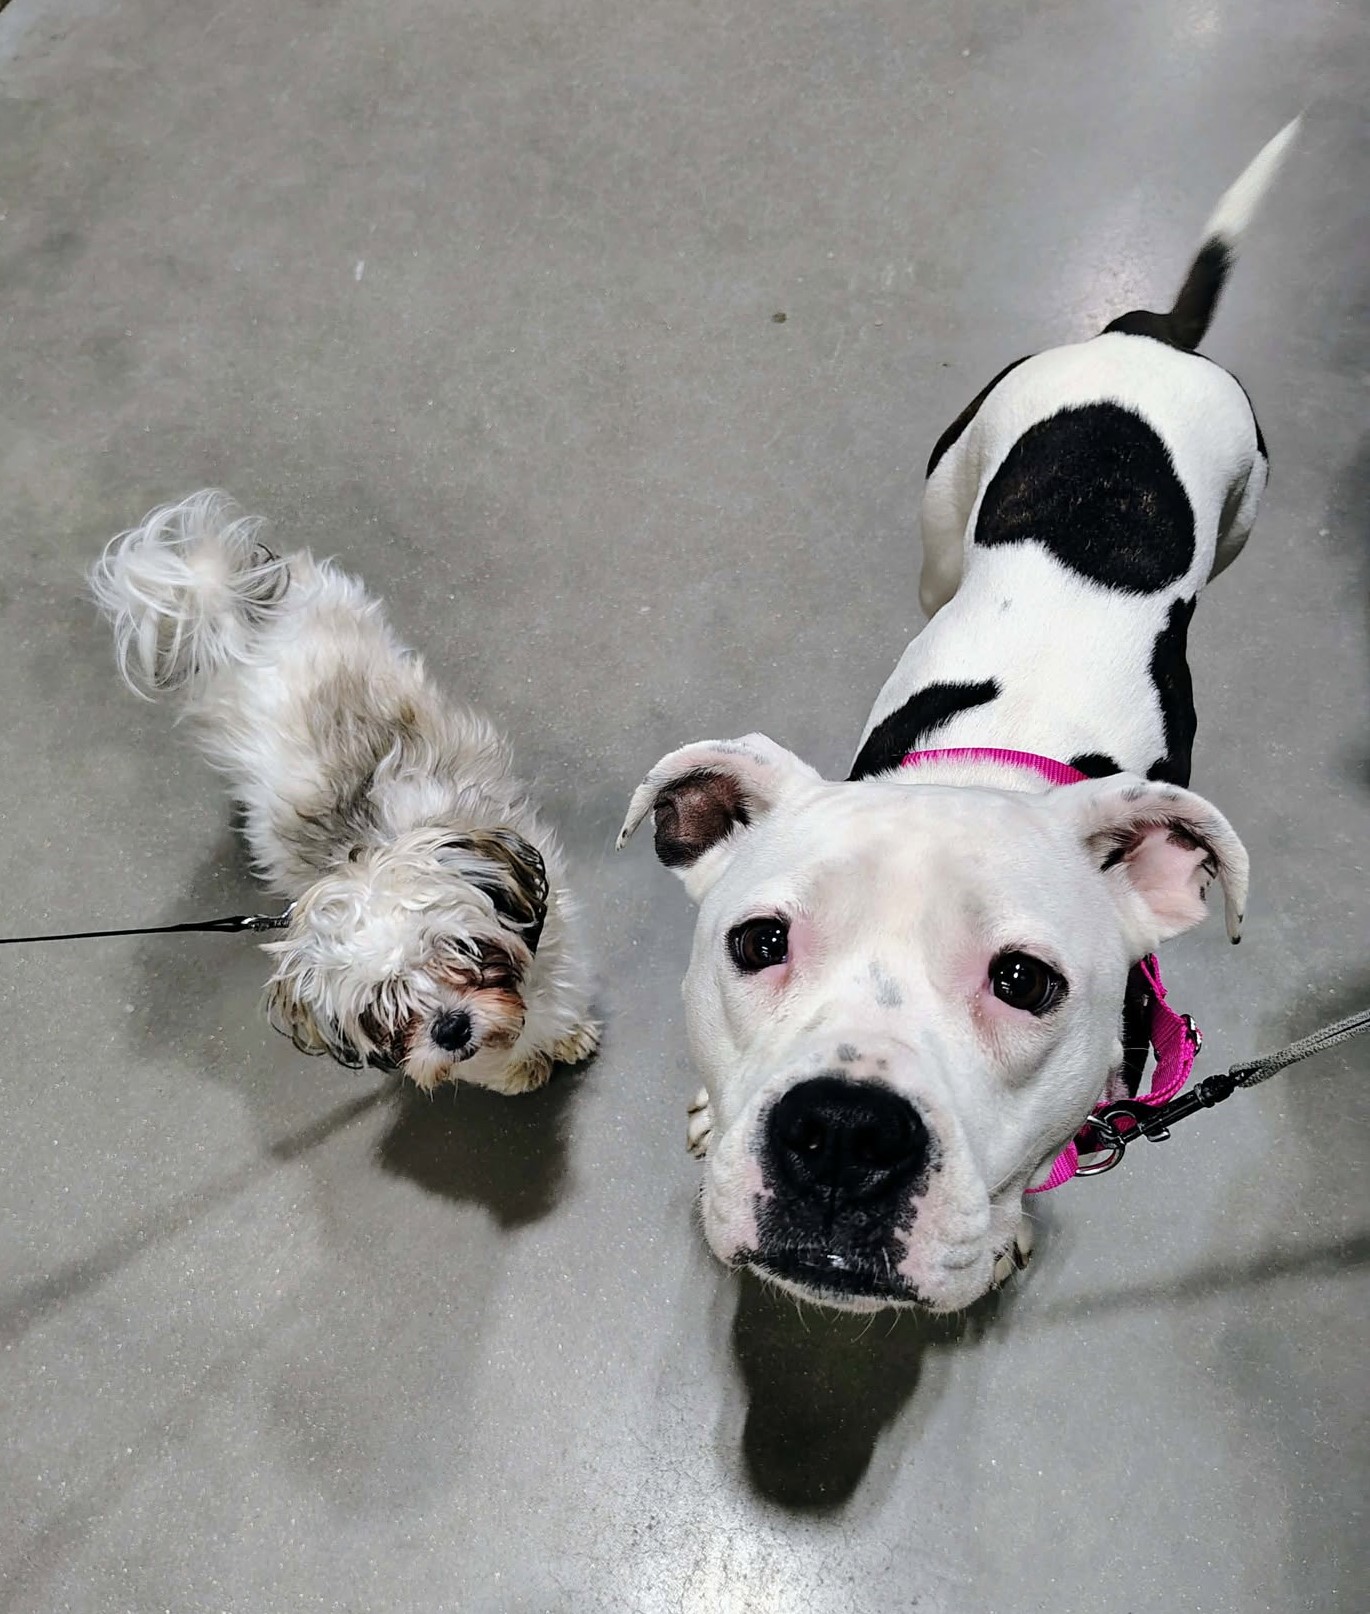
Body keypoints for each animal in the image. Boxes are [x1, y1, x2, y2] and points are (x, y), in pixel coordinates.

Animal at [91, 492, 599, 1093]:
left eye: (459, 949)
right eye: (382, 1005)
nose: (450, 1027)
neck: (378, 842)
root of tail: (224, 606)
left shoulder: (551, 924)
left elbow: (554, 991)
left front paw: (563, 1033)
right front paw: (519, 1065)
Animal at [619, 120, 1299, 1313]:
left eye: (1024, 982)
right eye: (758, 942)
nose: (843, 1136)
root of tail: (1155, 337)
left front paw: (1010, 1225)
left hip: (1242, 511)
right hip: (945, 512)